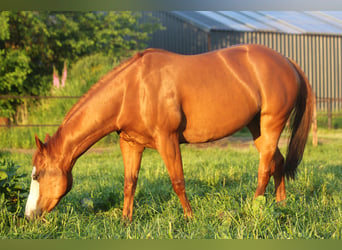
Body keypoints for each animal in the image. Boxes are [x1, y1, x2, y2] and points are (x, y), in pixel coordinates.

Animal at [24, 45, 312, 221]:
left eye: (37, 175)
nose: (27, 215)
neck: (132, 89)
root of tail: (287, 62)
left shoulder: (167, 139)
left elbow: (178, 181)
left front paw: (190, 218)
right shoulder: (130, 143)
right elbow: (129, 183)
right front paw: (126, 221)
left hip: (271, 123)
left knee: (264, 168)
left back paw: (253, 208)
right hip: (256, 127)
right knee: (277, 161)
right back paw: (280, 205)